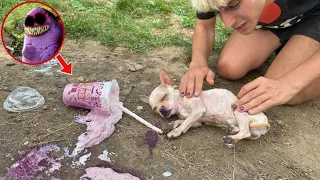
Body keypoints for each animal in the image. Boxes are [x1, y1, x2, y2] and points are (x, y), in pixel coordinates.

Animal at [141, 69, 270, 147]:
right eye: (155, 109)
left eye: (164, 96)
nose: (161, 110)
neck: (180, 106)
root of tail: (265, 123)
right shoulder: (197, 121)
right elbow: (183, 121)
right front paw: (172, 124)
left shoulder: (198, 110)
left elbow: (185, 123)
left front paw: (175, 131)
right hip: (245, 125)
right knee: (243, 130)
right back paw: (230, 130)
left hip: (240, 111)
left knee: (245, 132)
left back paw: (231, 138)